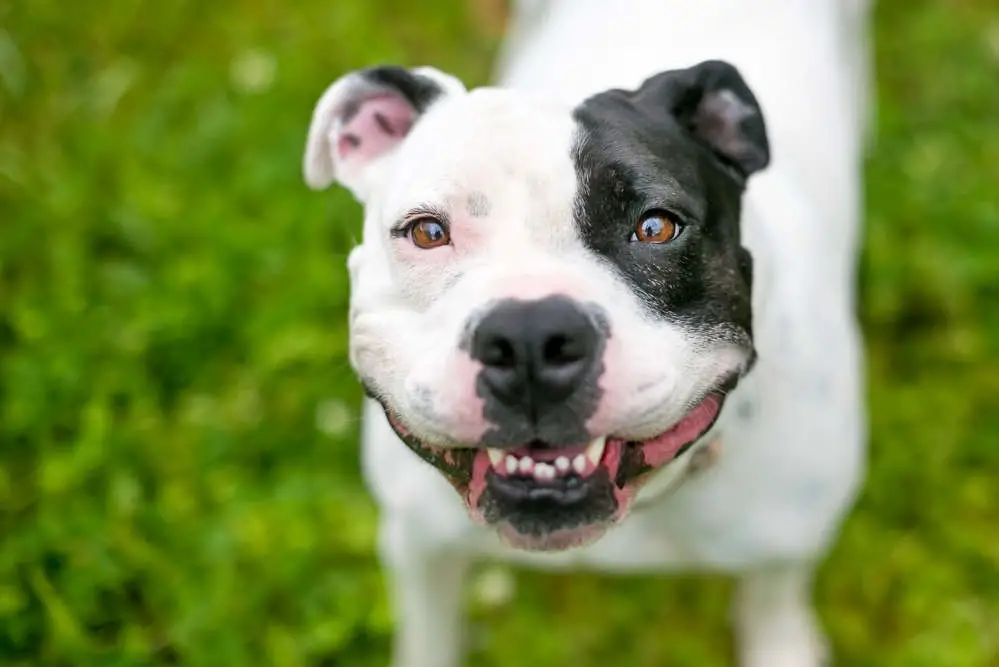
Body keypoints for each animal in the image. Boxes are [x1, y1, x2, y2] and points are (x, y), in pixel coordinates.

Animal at [300, 0, 872, 664]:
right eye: (427, 232)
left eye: (656, 227)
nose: (529, 338)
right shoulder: (418, 543)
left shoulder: (785, 548)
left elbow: (772, 604)